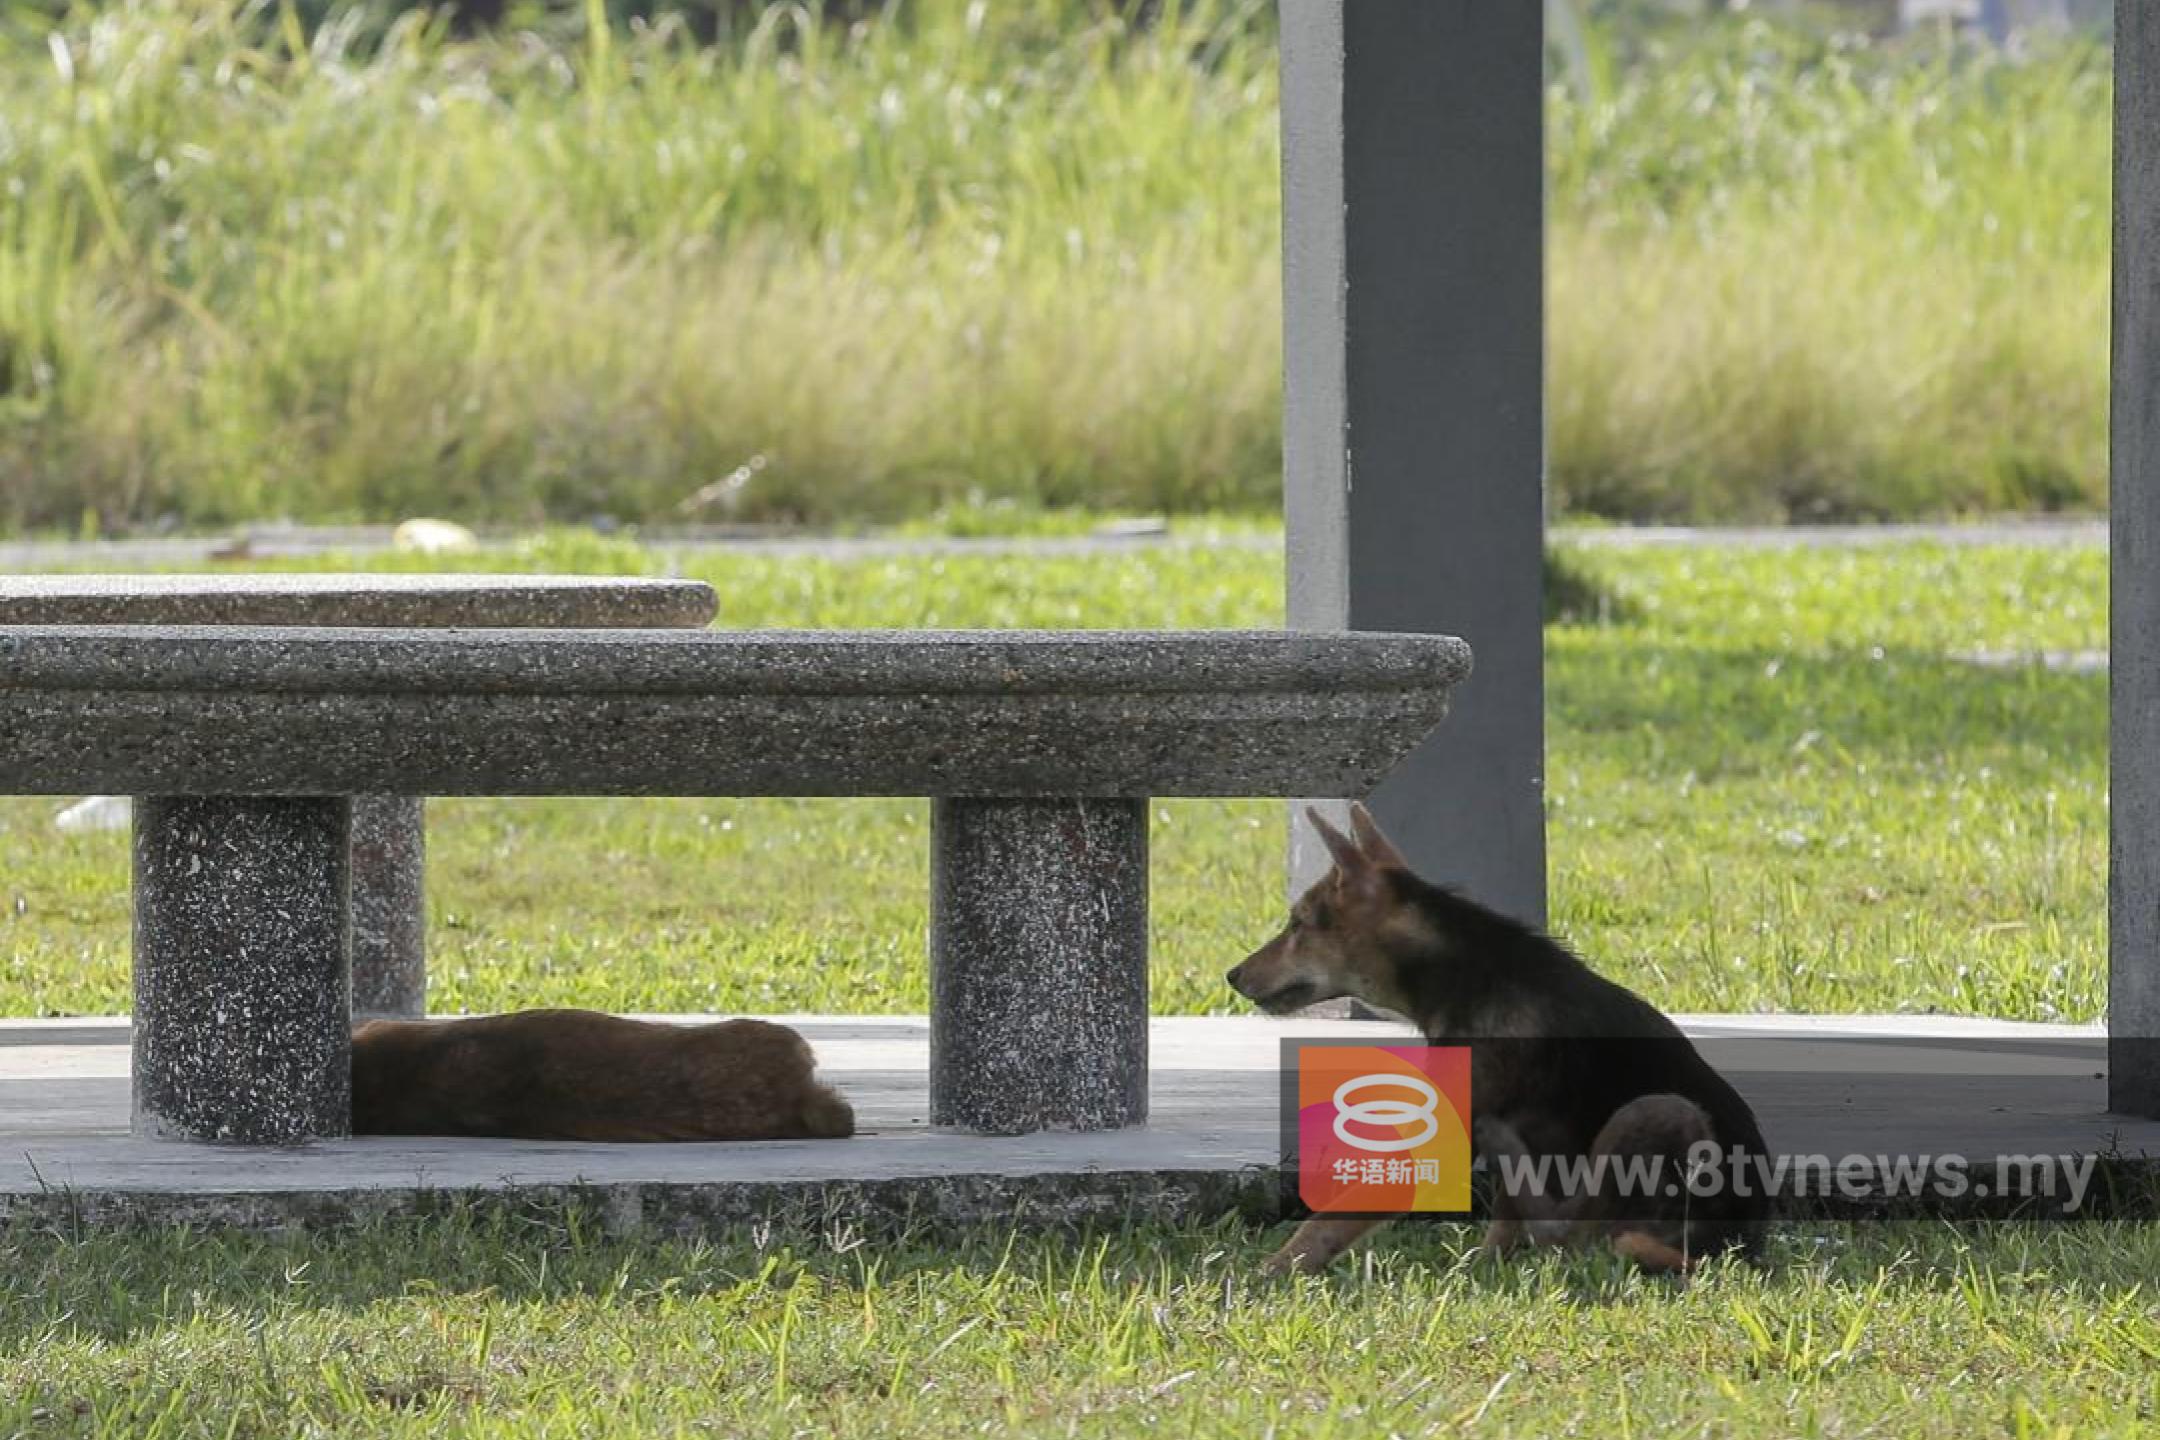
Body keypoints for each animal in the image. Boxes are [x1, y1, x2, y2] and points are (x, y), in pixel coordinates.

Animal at [1235, 807, 1771, 1278]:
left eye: (1298, 924)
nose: (1232, 975)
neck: (1462, 972)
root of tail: (1736, 1248)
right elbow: (1505, 1219)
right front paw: (1487, 1265)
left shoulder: (1443, 1136)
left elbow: (1332, 1219)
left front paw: (1273, 1270)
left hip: (1660, 1111)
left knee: (1570, 1233)